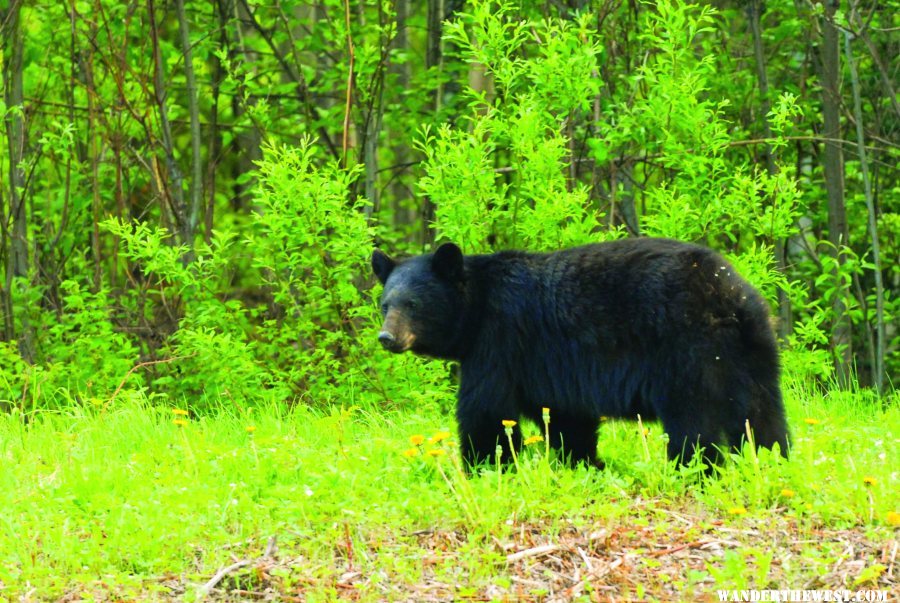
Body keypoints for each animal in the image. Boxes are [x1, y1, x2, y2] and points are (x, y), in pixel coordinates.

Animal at [370, 239, 788, 472]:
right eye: (385, 303)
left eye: (412, 304)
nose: (387, 337)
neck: (476, 307)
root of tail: (725, 295)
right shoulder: (553, 369)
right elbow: (566, 418)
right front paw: (588, 464)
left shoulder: (501, 340)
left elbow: (487, 410)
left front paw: (485, 466)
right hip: (751, 349)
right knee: (762, 412)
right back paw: (774, 458)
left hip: (686, 351)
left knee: (694, 422)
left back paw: (694, 469)